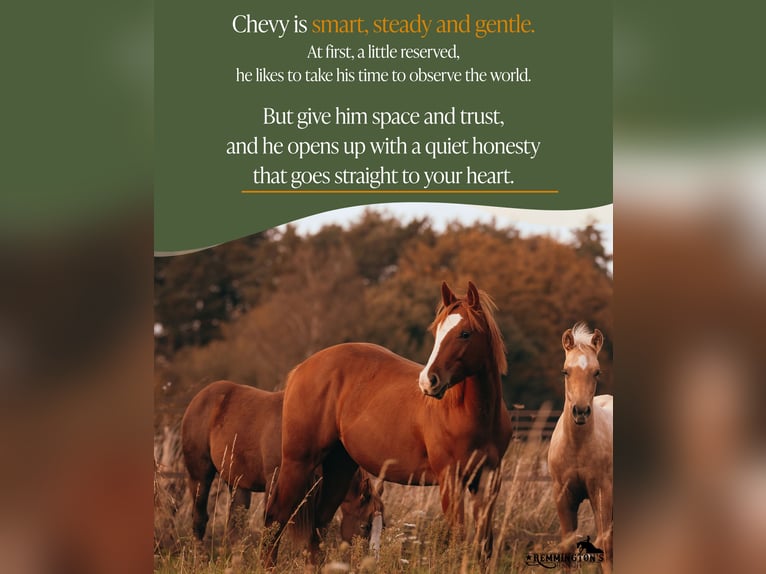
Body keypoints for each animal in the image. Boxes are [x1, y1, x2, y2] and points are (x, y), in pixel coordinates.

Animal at [180, 380, 384, 548]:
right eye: (365, 525)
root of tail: (201, 396)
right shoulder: (276, 482)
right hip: (200, 476)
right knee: (200, 519)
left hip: (238, 484)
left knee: (235, 527)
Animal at [264, 281, 512, 566]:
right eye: (437, 332)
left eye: (465, 333)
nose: (429, 381)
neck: (470, 413)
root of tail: (301, 369)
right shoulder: (450, 479)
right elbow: (458, 539)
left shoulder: (488, 481)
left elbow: (484, 545)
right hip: (298, 462)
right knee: (276, 517)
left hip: (340, 466)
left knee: (318, 525)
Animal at [547, 323, 613, 573]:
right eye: (566, 371)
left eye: (597, 372)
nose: (581, 412)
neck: (577, 446)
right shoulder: (563, 495)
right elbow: (567, 549)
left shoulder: (602, 492)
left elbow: (605, 546)